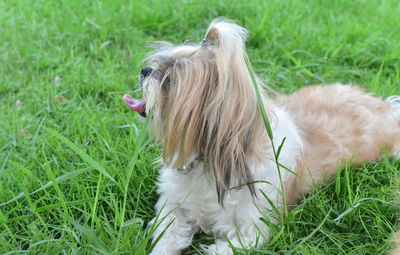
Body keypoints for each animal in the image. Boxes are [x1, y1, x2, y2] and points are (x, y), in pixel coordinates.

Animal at [122, 18, 400, 254]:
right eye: (159, 65)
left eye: (169, 80)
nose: (145, 70)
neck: (211, 164)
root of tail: (387, 108)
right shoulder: (172, 209)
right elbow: (168, 235)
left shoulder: (250, 232)